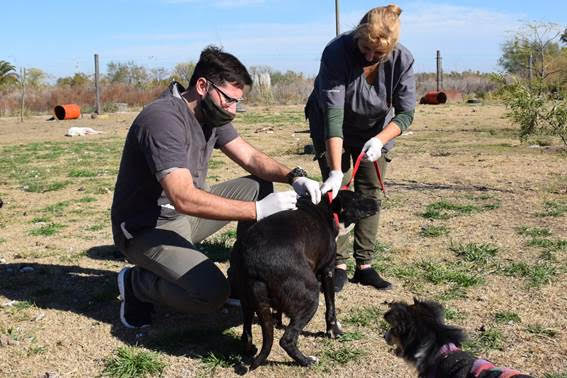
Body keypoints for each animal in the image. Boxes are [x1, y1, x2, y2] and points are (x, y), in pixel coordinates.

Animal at [231, 189, 378, 370]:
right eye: (358, 198)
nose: (378, 202)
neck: (327, 208)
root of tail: (252, 263)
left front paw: (278, 321)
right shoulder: (327, 271)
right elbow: (331, 308)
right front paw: (334, 332)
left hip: (247, 300)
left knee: (247, 334)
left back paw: (250, 349)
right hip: (311, 297)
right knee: (287, 340)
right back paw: (306, 361)